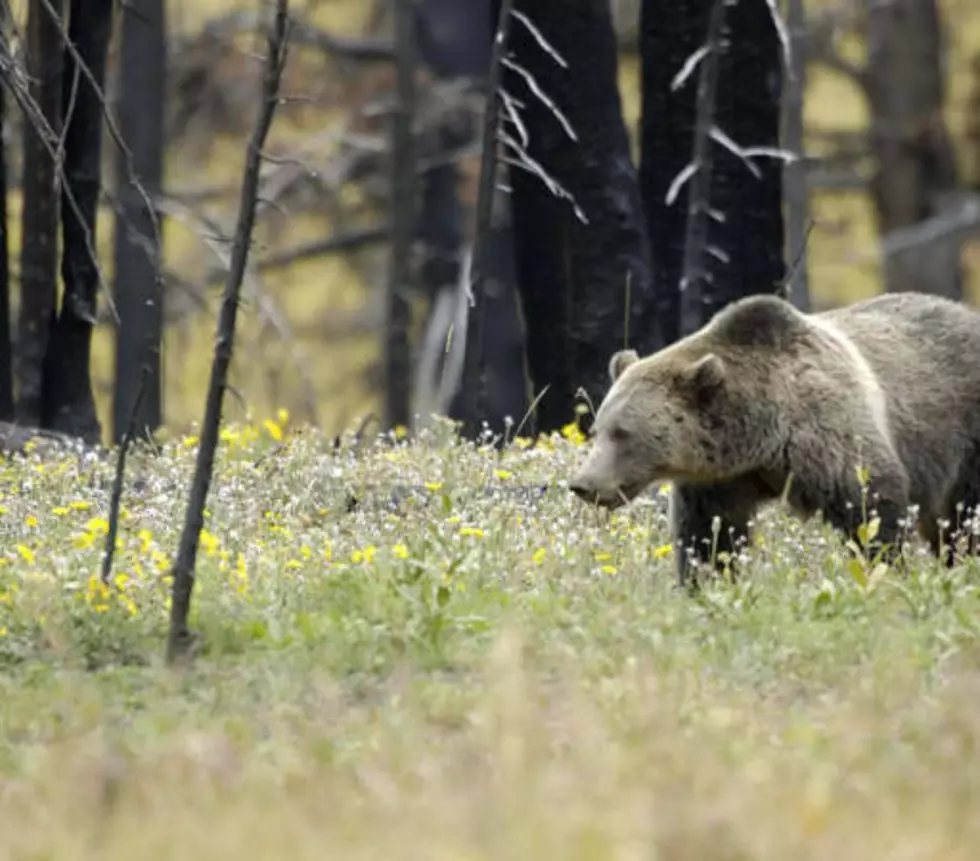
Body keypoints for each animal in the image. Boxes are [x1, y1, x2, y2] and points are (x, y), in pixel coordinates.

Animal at [572, 292, 980, 588]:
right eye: (597, 429)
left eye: (623, 432)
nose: (582, 484)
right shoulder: (720, 480)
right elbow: (709, 535)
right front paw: (706, 583)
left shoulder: (828, 433)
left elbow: (871, 508)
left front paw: (886, 570)